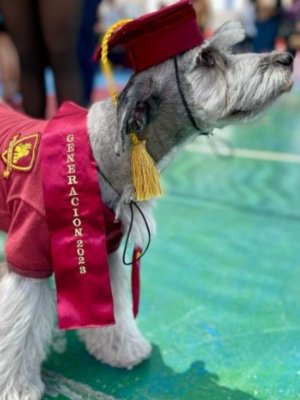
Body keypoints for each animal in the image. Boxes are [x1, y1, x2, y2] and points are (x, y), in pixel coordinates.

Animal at [0, 21, 292, 400]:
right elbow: (20, 330)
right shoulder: (28, 260)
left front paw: (121, 349)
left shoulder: (106, 252)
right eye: (207, 58)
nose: (287, 58)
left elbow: (117, 308)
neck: (100, 159)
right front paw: (17, 385)